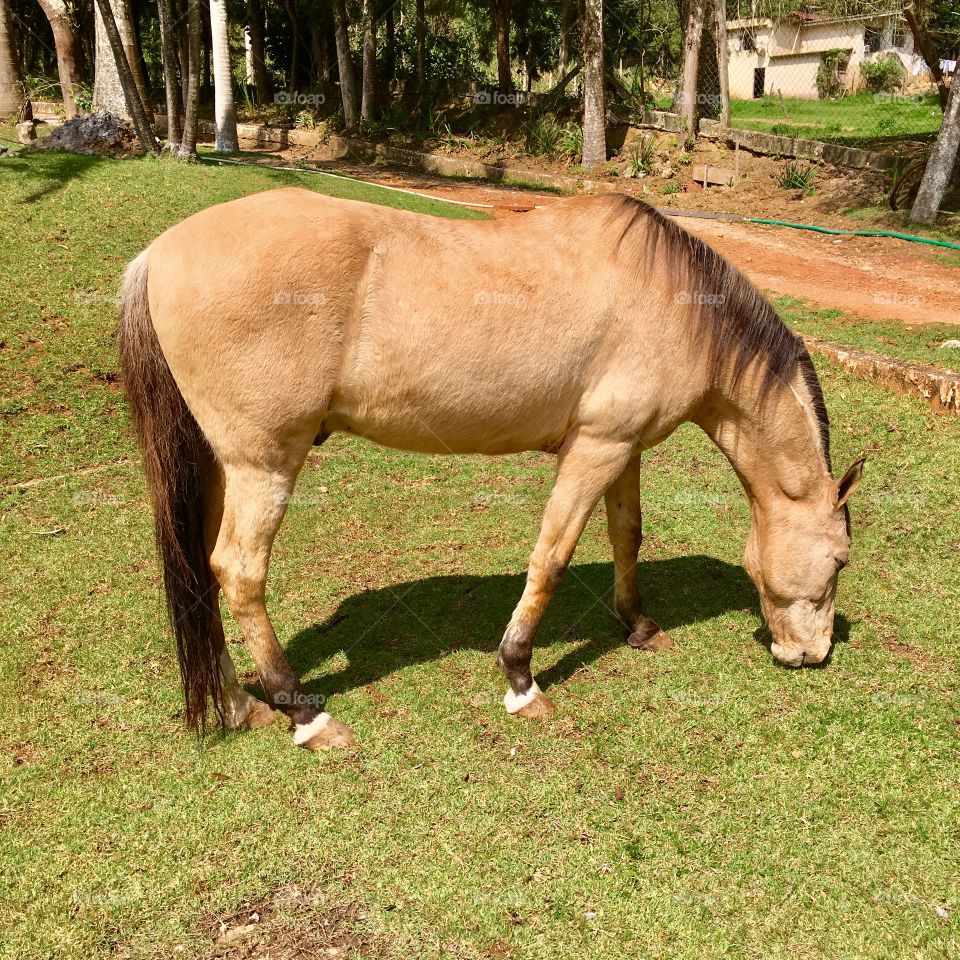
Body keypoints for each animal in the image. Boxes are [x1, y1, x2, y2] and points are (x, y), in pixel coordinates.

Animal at [116, 189, 868, 752]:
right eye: (840, 560)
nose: (813, 654)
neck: (673, 301)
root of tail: (159, 253)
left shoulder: (623, 447)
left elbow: (627, 536)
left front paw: (637, 624)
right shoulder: (594, 449)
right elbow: (552, 557)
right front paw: (520, 677)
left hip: (220, 466)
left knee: (199, 570)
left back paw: (237, 704)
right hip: (264, 465)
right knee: (239, 573)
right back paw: (304, 712)